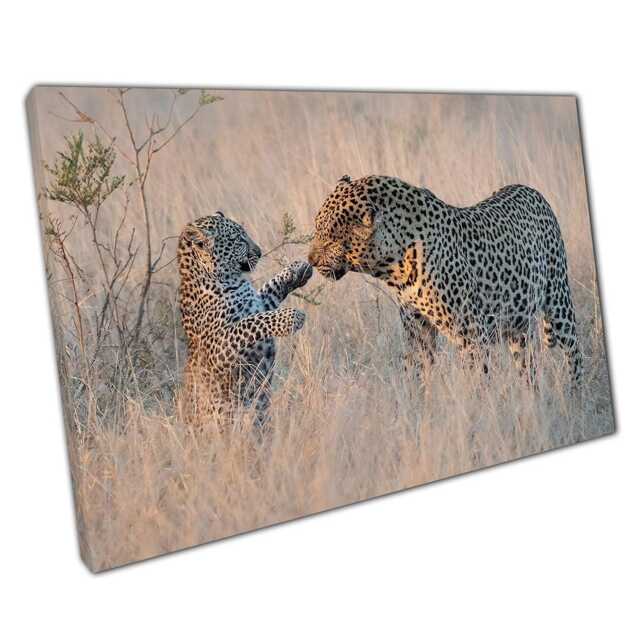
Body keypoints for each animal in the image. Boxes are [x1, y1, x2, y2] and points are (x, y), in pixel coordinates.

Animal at [178, 212, 313, 430]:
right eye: (237, 240)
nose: (259, 252)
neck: (231, 279)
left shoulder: (258, 303)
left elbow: (269, 289)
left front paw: (296, 270)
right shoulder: (219, 349)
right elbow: (250, 323)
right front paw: (291, 317)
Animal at [308, 175, 582, 385]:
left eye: (330, 239)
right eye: (316, 229)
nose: (310, 260)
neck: (395, 265)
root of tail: (530, 189)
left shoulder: (472, 335)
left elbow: (476, 380)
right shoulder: (417, 330)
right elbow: (417, 371)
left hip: (558, 301)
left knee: (574, 351)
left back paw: (574, 398)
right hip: (519, 324)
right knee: (528, 364)